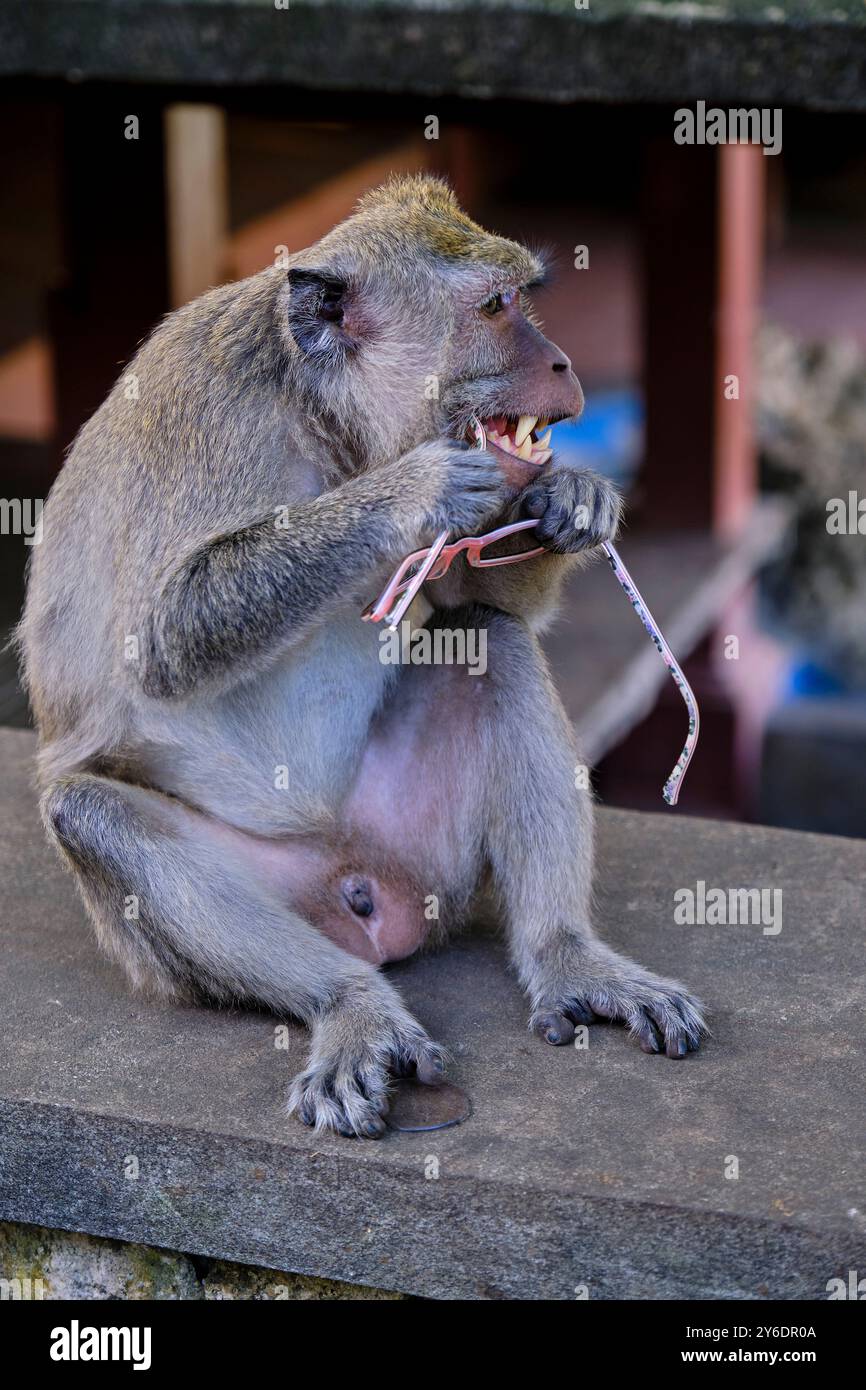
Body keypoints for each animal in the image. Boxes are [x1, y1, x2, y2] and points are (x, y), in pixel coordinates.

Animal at [19, 176, 705, 1140]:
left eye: (521, 297)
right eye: (494, 307)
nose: (563, 364)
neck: (322, 422)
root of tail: (354, 881)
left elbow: (477, 603)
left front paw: (573, 496)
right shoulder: (205, 416)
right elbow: (158, 638)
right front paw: (416, 488)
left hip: (422, 853)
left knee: (490, 644)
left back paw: (567, 956)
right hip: (230, 912)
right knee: (93, 814)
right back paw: (350, 1004)